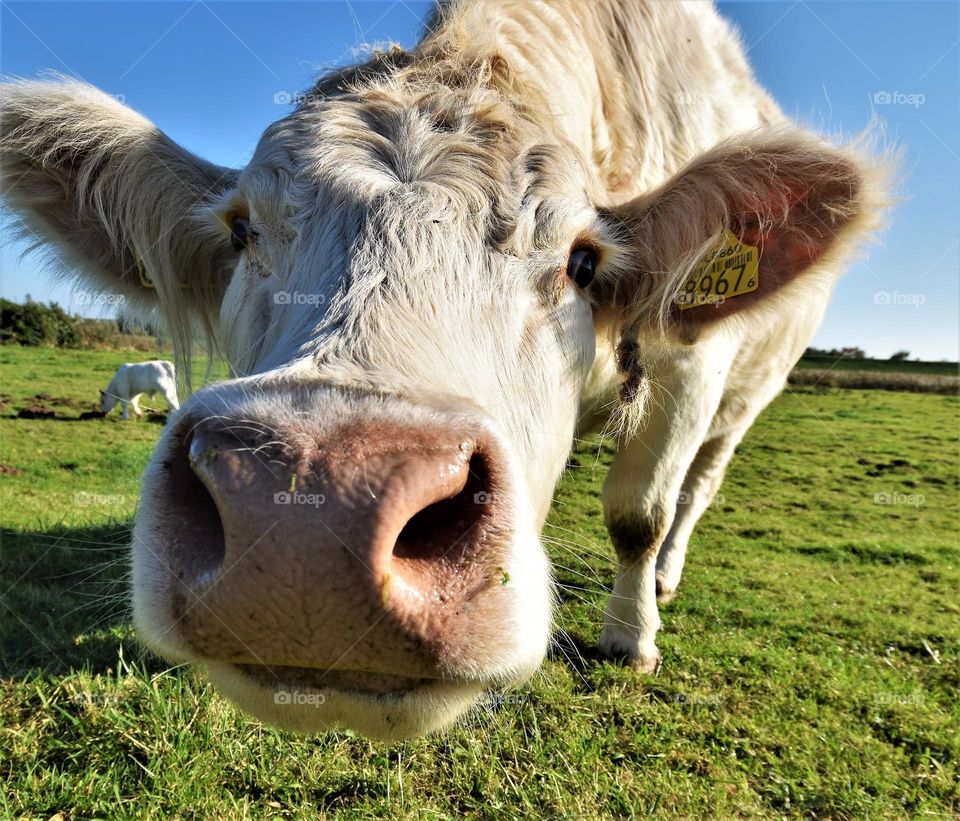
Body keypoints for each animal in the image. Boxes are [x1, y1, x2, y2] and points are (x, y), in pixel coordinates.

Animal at [0, 0, 892, 740]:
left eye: (582, 260)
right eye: (242, 230)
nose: (309, 527)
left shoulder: (690, 369)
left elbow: (638, 513)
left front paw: (630, 635)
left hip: (748, 397)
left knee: (696, 488)